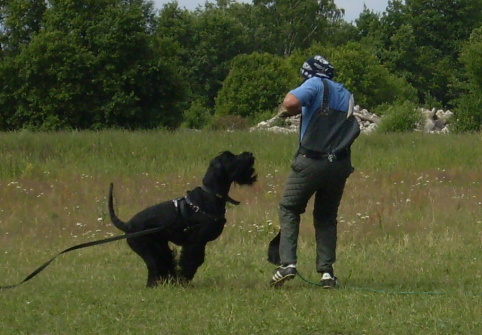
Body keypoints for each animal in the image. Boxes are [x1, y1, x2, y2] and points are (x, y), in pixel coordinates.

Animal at [107, 151, 254, 288]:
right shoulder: (195, 242)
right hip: (146, 248)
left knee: (165, 262)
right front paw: (183, 280)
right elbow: (191, 261)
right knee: (154, 266)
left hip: (160, 246)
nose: (250, 154)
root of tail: (128, 225)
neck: (210, 194)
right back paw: (154, 285)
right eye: (230, 157)